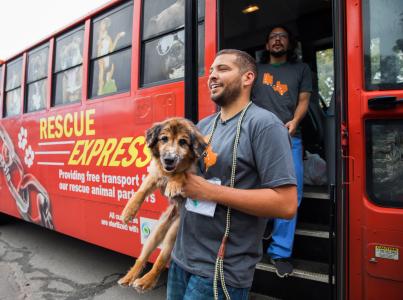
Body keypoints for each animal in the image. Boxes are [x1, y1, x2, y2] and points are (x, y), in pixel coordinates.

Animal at [117, 118, 205, 292]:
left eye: (183, 142)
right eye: (163, 139)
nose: (168, 160)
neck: (168, 173)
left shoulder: (194, 174)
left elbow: (183, 173)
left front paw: (174, 183)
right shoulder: (154, 175)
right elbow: (140, 192)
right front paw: (128, 211)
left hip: (173, 233)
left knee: (160, 261)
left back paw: (145, 281)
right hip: (157, 231)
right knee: (143, 257)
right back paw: (130, 277)